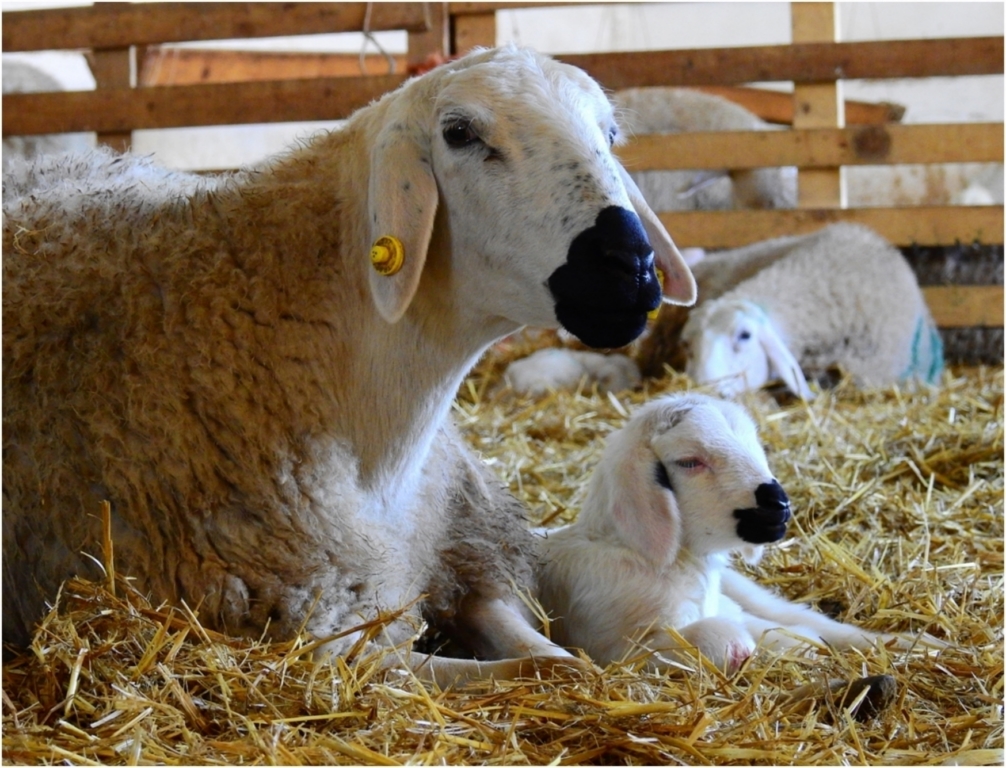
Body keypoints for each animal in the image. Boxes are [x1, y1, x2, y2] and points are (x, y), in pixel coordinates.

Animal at [0, 45, 696, 688]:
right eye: (460, 132)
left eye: (610, 134)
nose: (633, 267)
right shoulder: (326, 638)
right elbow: (533, 671)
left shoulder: (466, 552)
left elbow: (551, 657)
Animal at [539, 396, 937, 672]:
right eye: (689, 462)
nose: (779, 504)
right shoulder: (615, 650)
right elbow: (720, 637)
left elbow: (777, 630)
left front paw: (802, 646)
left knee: (807, 618)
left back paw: (918, 643)